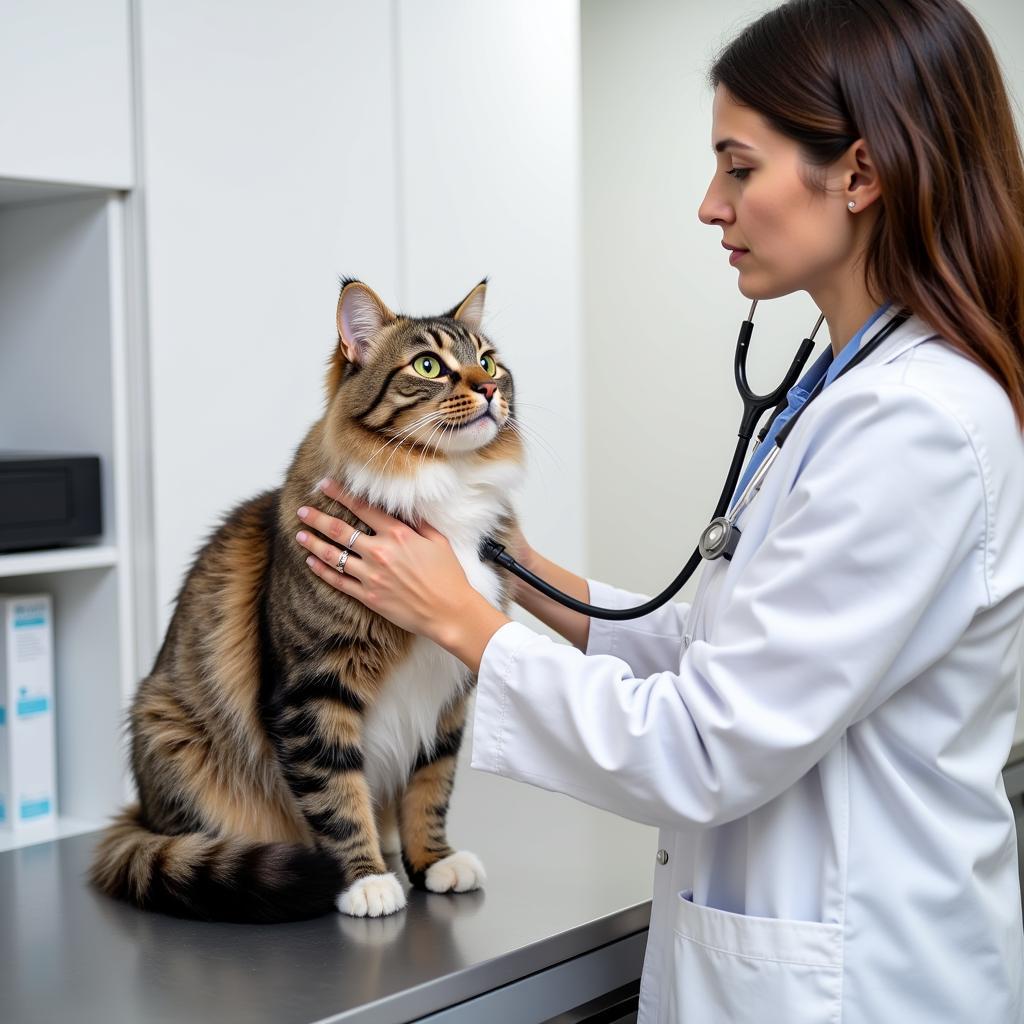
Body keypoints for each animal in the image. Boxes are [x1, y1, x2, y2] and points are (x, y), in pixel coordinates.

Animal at [88, 276, 524, 925]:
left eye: (488, 361)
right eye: (429, 365)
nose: (490, 388)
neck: (445, 488)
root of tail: (141, 813)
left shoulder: (448, 698)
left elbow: (430, 789)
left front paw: (433, 862)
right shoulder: (313, 689)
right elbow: (337, 795)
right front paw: (367, 881)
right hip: (173, 734)